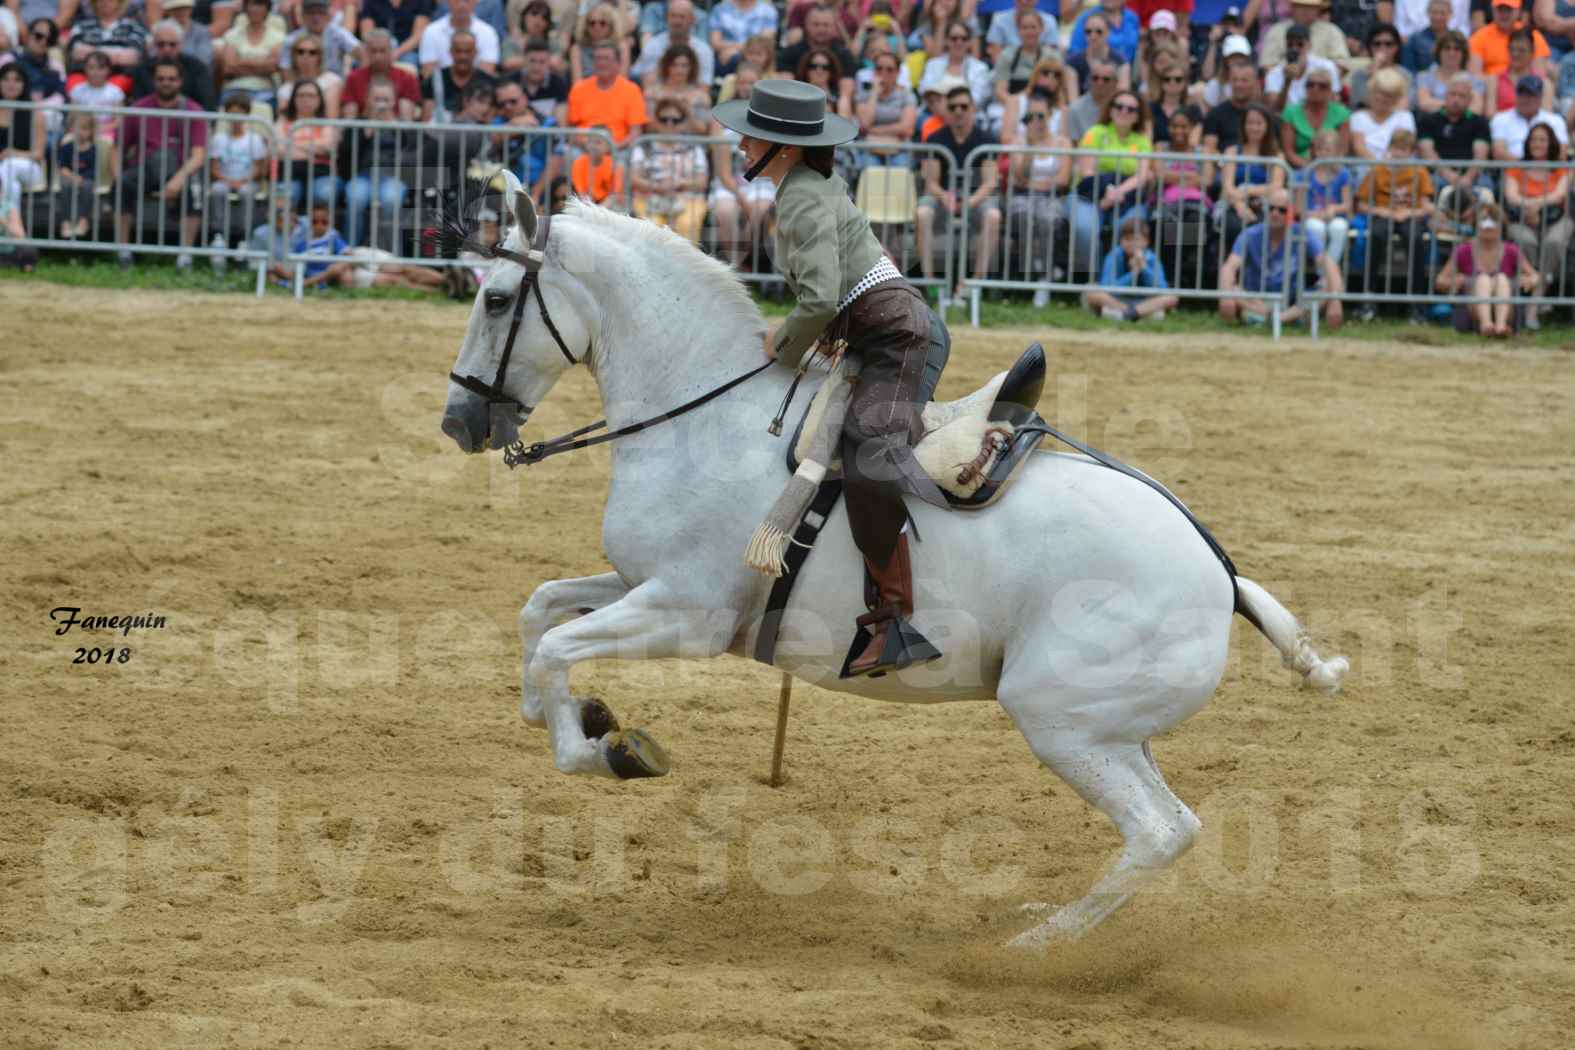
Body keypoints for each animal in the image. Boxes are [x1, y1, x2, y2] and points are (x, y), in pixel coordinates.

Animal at [437, 176, 1348, 950]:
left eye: (494, 297)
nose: (458, 422)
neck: (706, 422)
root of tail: (1219, 572)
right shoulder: (636, 585)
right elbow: (540, 610)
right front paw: (559, 712)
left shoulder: (685, 615)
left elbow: (558, 647)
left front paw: (600, 750)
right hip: (1113, 731)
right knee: (1171, 825)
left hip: (1060, 721)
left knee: (1157, 833)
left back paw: (1031, 950)